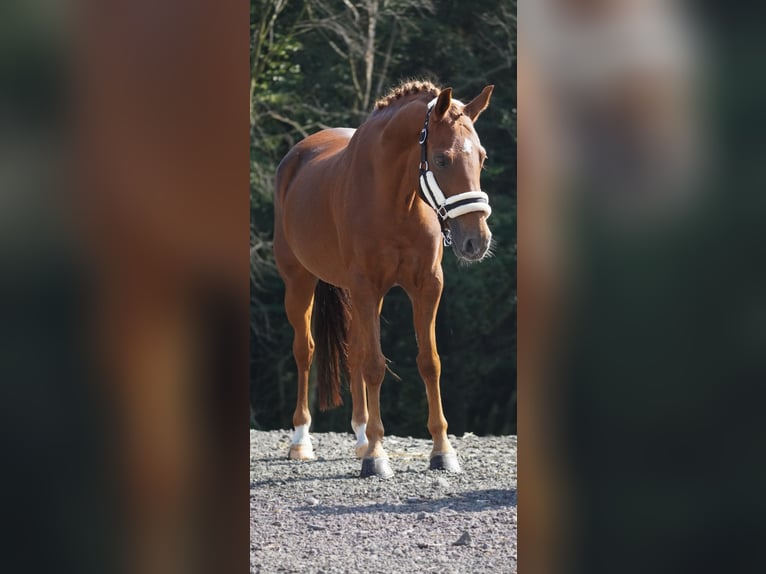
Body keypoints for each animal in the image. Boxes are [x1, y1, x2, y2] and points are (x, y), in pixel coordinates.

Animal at [276, 80, 498, 476]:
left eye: (483, 157)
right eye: (442, 159)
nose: (477, 241)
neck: (397, 200)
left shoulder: (427, 286)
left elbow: (429, 362)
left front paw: (442, 451)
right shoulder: (367, 287)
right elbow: (375, 366)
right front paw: (377, 458)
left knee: (354, 353)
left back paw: (361, 437)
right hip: (299, 283)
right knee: (305, 351)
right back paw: (302, 441)